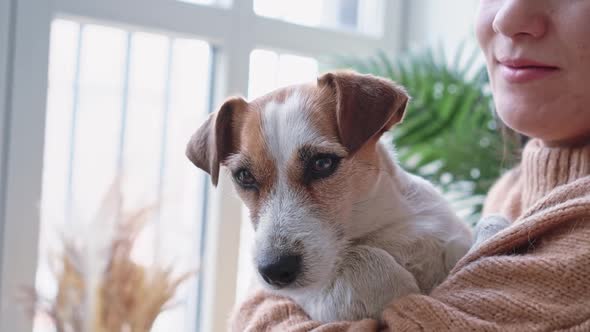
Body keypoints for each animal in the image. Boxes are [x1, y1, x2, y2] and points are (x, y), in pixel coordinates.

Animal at [187, 70, 474, 322]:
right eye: (244, 175)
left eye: (322, 163)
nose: (274, 271)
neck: (379, 227)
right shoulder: (314, 297)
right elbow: (366, 262)